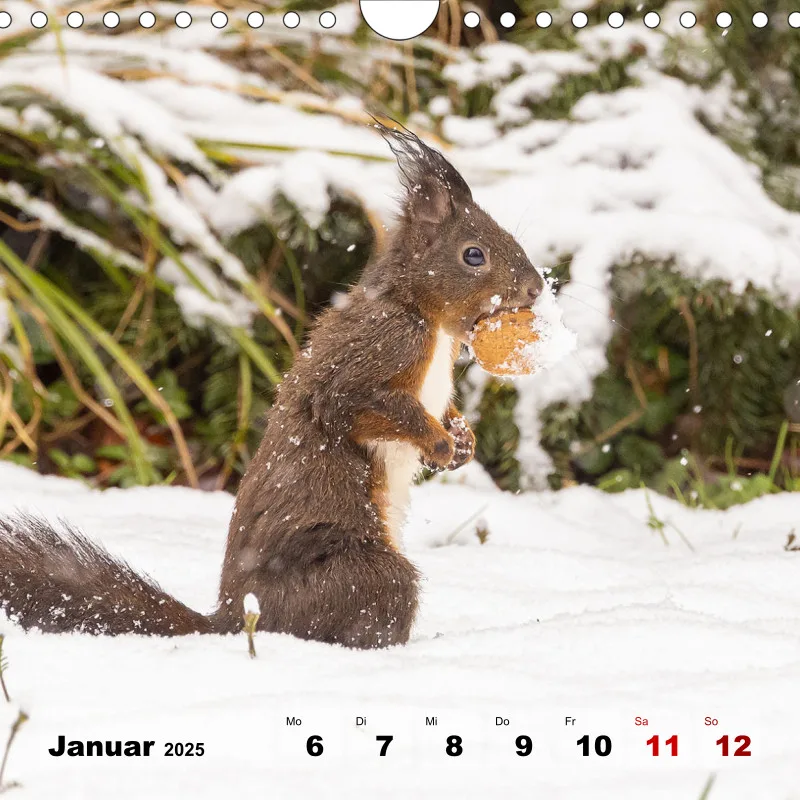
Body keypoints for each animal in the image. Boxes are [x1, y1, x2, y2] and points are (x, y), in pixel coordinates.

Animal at [0, 122, 543, 649]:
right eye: (473, 255)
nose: (536, 288)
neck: (423, 316)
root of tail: (235, 617)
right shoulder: (376, 352)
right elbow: (359, 406)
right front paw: (437, 441)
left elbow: (444, 410)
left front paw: (462, 440)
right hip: (365, 574)